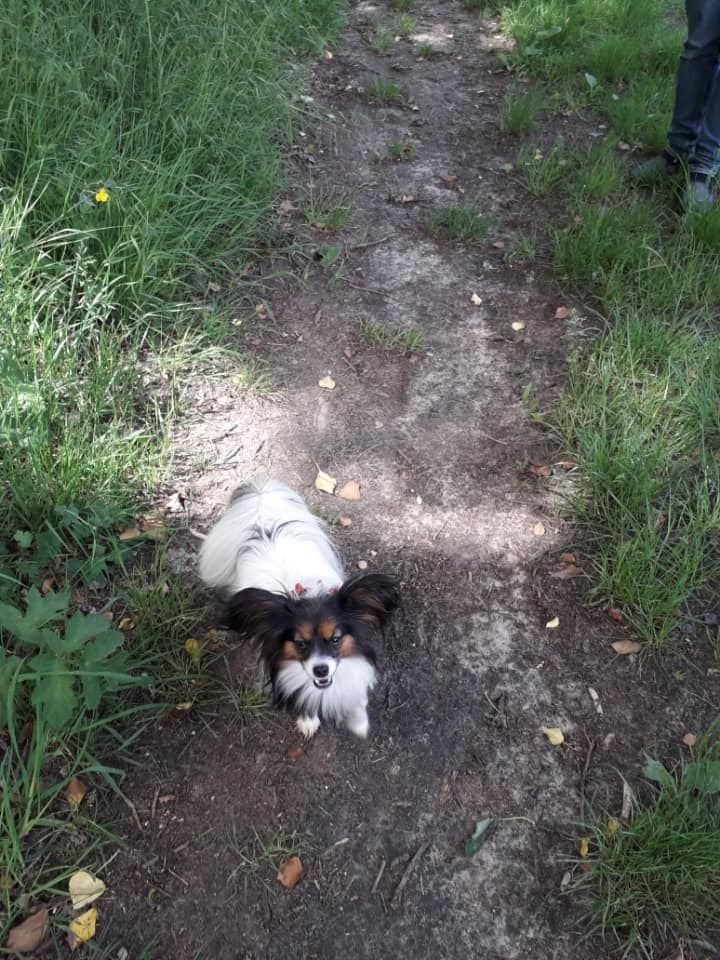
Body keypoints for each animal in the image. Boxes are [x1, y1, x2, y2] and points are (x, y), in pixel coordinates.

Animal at [198, 484, 400, 740]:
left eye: (335, 639)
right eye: (299, 643)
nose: (320, 669)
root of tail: (266, 526)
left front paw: (359, 722)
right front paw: (308, 720)